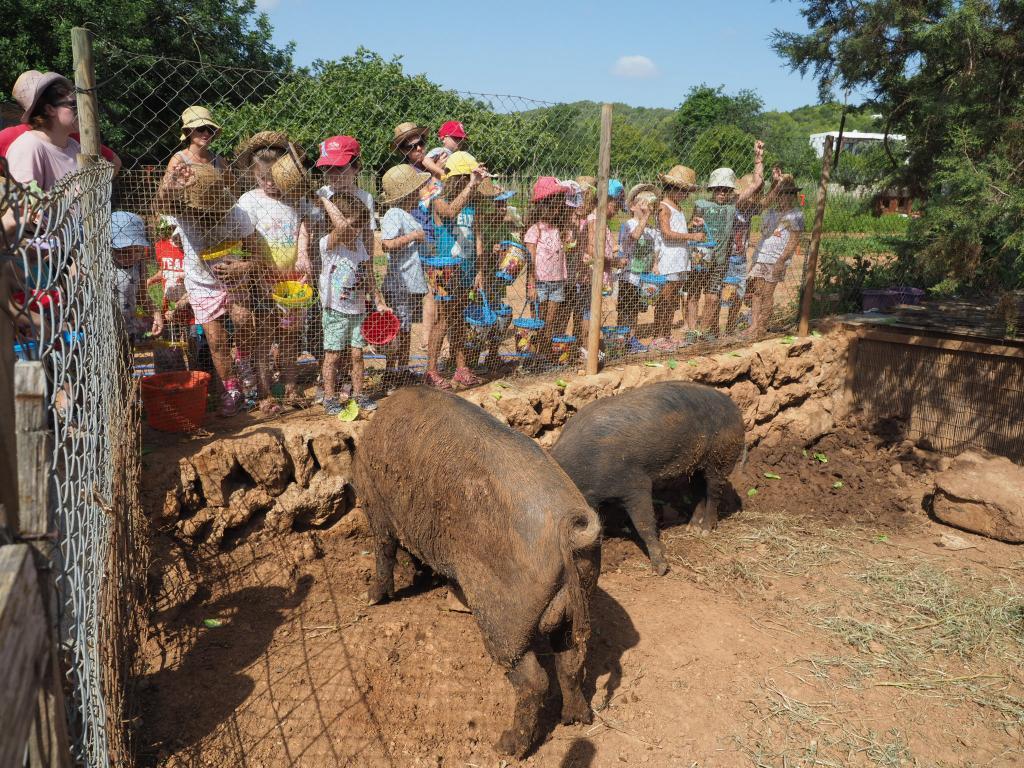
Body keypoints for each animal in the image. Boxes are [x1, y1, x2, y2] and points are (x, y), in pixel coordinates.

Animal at [356, 387, 602, 761]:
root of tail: (567, 531)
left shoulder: (378, 505)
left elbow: (384, 550)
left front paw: (371, 599)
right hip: (580, 598)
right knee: (571, 660)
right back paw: (576, 719)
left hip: (502, 618)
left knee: (533, 680)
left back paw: (507, 747)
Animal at [552, 382, 745, 573]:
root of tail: (735, 407)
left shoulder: (636, 483)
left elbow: (644, 524)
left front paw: (660, 569)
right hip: (695, 466)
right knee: (699, 491)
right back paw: (692, 528)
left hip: (722, 456)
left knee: (713, 492)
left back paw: (705, 530)